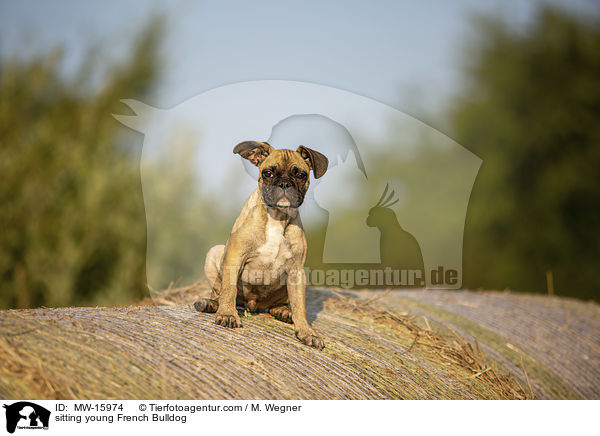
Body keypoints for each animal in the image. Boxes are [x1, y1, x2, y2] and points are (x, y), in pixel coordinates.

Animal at [193, 141, 328, 350]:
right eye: (268, 173)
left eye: (300, 175)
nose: (284, 183)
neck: (276, 217)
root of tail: (253, 305)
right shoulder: (234, 257)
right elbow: (229, 289)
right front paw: (227, 314)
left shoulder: (296, 270)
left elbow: (300, 305)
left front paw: (306, 331)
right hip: (215, 254)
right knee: (218, 292)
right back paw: (211, 305)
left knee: (280, 305)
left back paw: (284, 312)